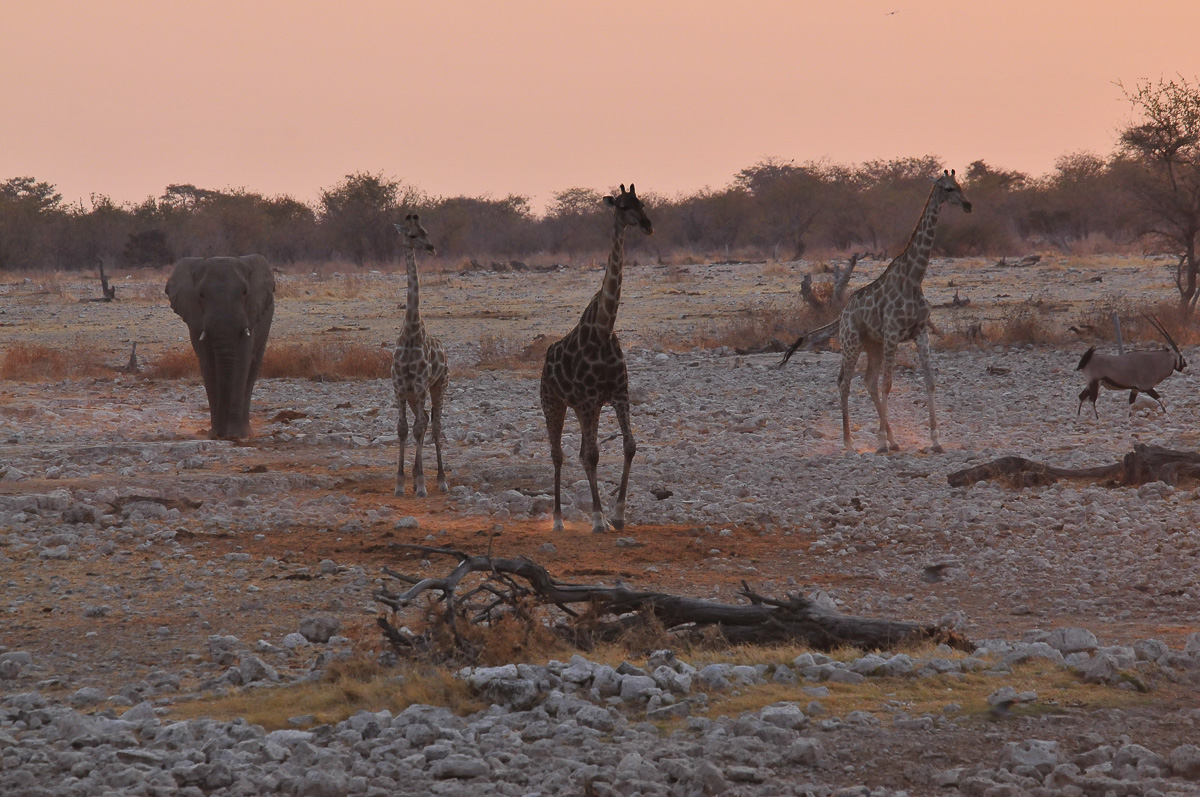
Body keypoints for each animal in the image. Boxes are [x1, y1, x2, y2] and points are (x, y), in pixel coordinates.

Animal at [166, 255, 275, 440]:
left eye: (245, 292)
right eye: (201, 295)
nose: (222, 434)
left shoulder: (251, 315)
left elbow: (242, 361)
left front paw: (235, 435)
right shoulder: (196, 320)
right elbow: (208, 364)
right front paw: (215, 434)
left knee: (252, 370)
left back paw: (247, 432)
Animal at [540, 184, 653, 533]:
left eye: (642, 203)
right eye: (622, 206)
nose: (648, 225)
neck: (604, 329)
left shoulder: (617, 394)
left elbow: (629, 446)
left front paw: (617, 515)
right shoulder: (590, 399)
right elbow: (592, 456)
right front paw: (599, 519)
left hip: (582, 408)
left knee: (578, 452)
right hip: (554, 403)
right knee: (559, 454)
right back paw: (558, 520)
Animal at [834, 169, 972, 454]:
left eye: (961, 185)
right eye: (948, 188)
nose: (968, 205)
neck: (914, 278)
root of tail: (843, 313)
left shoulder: (920, 332)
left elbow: (929, 380)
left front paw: (936, 440)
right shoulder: (893, 334)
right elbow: (888, 384)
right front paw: (879, 442)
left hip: (873, 344)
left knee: (868, 381)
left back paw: (894, 440)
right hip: (851, 341)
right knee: (846, 382)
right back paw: (849, 442)